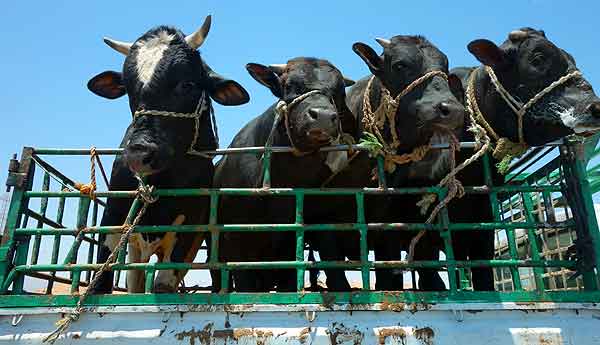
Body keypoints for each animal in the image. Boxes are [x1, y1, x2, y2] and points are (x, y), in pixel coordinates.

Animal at [85, 14, 250, 292]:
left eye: (187, 84)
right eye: (128, 87)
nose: (138, 153)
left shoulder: (190, 228)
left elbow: (163, 285)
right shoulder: (114, 216)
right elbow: (101, 280)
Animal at [304, 35, 464, 290]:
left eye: (445, 68)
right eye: (399, 65)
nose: (453, 109)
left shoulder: (386, 223)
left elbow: (389, 277)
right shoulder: (323, 223)